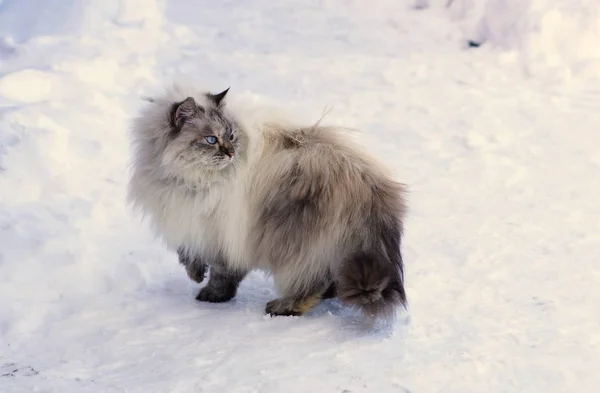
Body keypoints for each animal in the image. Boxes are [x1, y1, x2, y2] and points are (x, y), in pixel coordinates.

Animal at [127, 82, 408, 318]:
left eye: (230, 136)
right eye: (211, 139)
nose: (230, 152)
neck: (187, 180)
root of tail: (372, 191)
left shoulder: (220, 230)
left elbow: (221, 272)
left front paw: (211, 294)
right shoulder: (189, 218)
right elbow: (187, 255)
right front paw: (197, 275)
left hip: (300, 248)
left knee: (311, 284)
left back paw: (284, 307)